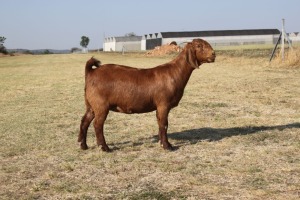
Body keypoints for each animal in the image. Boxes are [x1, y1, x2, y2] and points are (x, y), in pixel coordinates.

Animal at [78, 38, 216, 152]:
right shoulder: (163, 104)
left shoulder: (159, 107)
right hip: (101, 105)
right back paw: (105, 147)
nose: (213, 54)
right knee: (97, 124)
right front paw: (167, 146)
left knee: (85, 121)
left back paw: (83, 145)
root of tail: (91, 73)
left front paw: (162, 143)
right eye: (199, 45)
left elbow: (160, 123)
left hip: (91, 105)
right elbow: (164, 124)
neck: (174, 73)